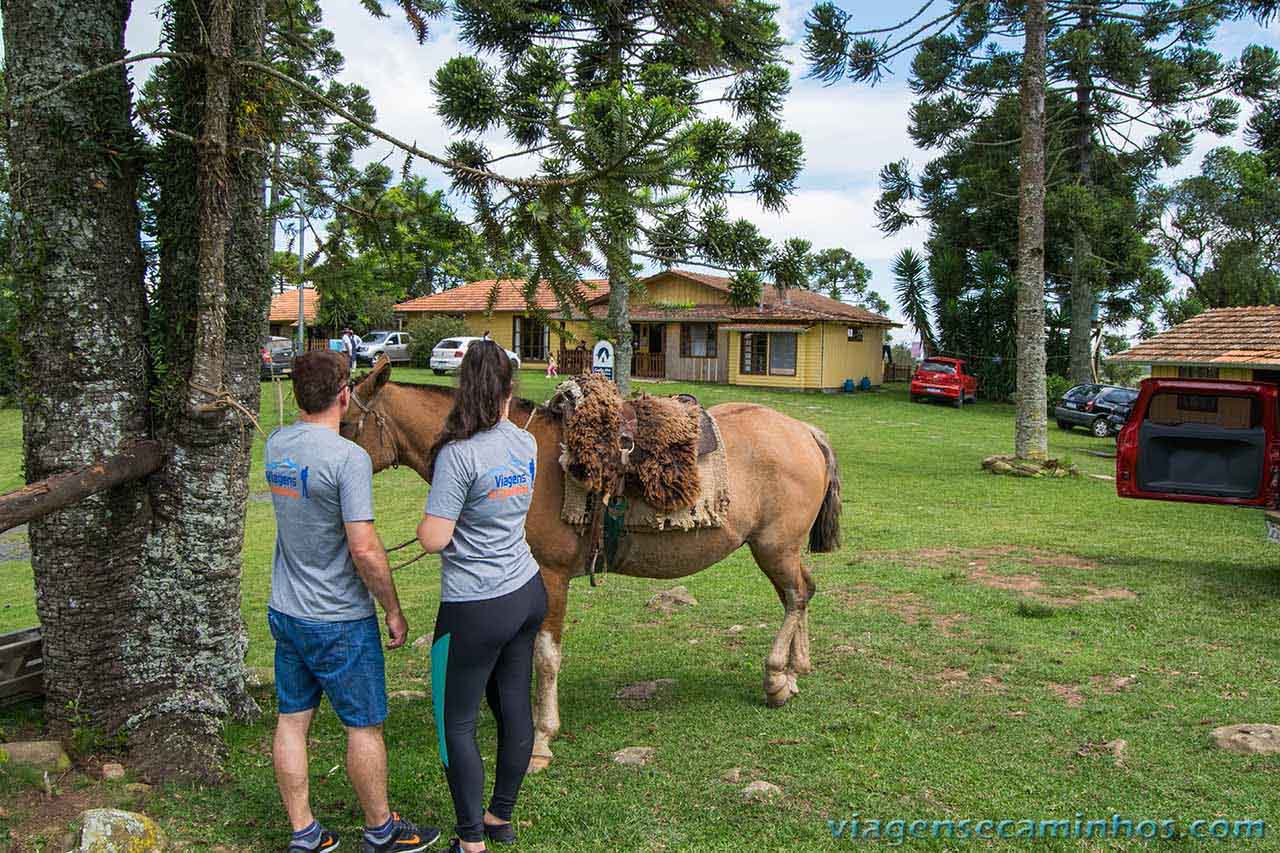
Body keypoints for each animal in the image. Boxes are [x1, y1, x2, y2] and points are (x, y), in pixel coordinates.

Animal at [340, 356, 839, 768]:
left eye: (345, 422)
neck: (509, 455)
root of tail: (804, 431)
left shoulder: (551, 575)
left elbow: (546, 657)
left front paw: (541, 739)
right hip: (779, 549)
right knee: (801, 593)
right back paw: (795, 670)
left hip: (774, 546)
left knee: (796, 596)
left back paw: (776, 679)